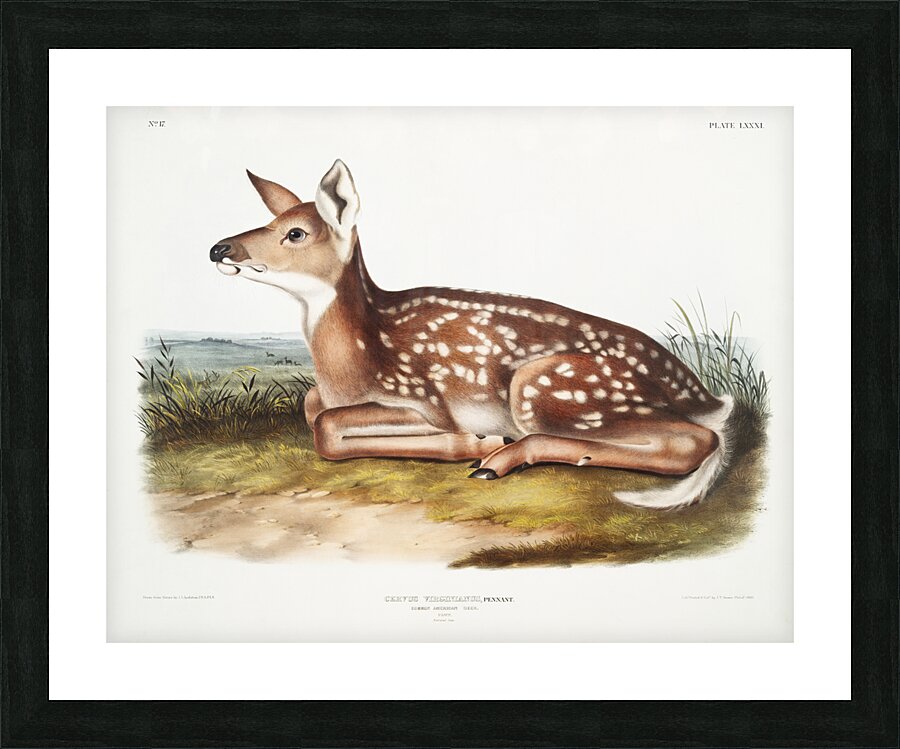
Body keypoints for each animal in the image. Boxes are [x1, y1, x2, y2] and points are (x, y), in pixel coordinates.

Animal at [209, 160, 735, 509]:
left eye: (295, 233)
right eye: (271, 221)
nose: (219, 248)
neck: (350, 366)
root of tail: (706, 395)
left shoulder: (425, 398)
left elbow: (327, 427)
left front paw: (472, 442)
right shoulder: (330, 394)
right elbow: (311, 406)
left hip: (546, 388)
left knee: (696, 441)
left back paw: (497, 455)